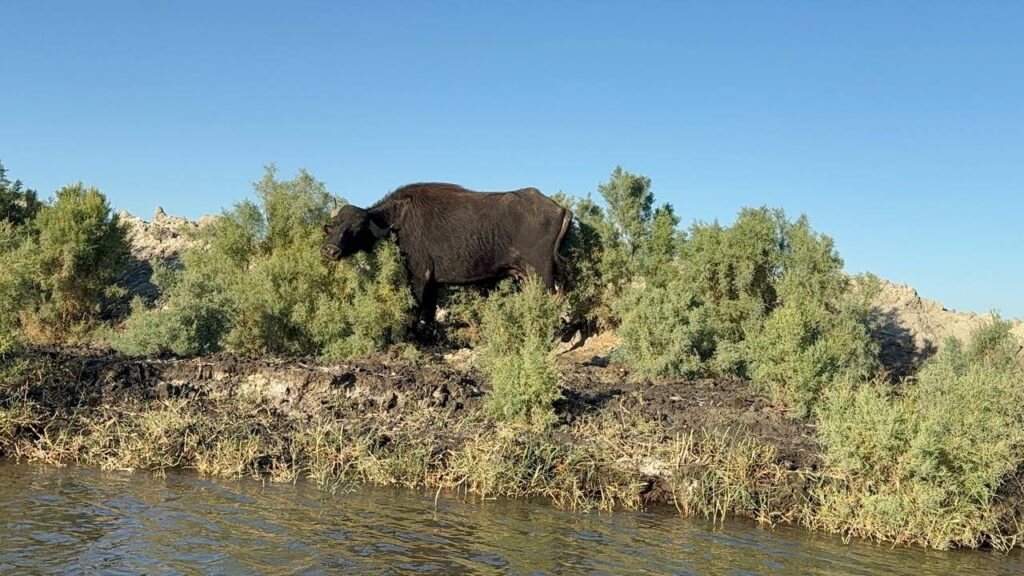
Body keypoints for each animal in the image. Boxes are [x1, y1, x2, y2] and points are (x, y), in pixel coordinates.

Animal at [323, 181, 573, 334]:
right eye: (335, 224)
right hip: (525, 277)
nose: (330, 250)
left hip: (542, 274)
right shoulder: (433, 282)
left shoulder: (419, 276)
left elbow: (416, 309)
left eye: (357, 227)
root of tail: (560, 209)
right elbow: (429, 313)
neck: (398, 220)